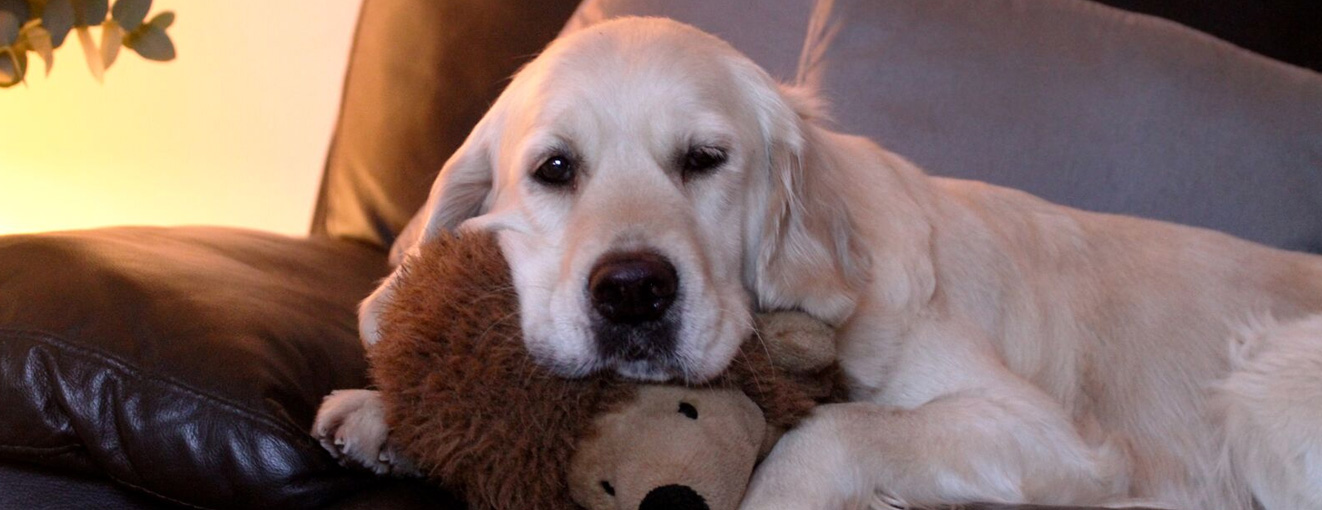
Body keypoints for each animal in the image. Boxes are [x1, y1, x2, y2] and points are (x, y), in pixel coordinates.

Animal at [317, 15, 1322, 510]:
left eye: (705, 159)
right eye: (555, 169)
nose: (633, 293)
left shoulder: (1050, 434)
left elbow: (834, 432)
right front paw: (378, 414)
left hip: (1269, 388)